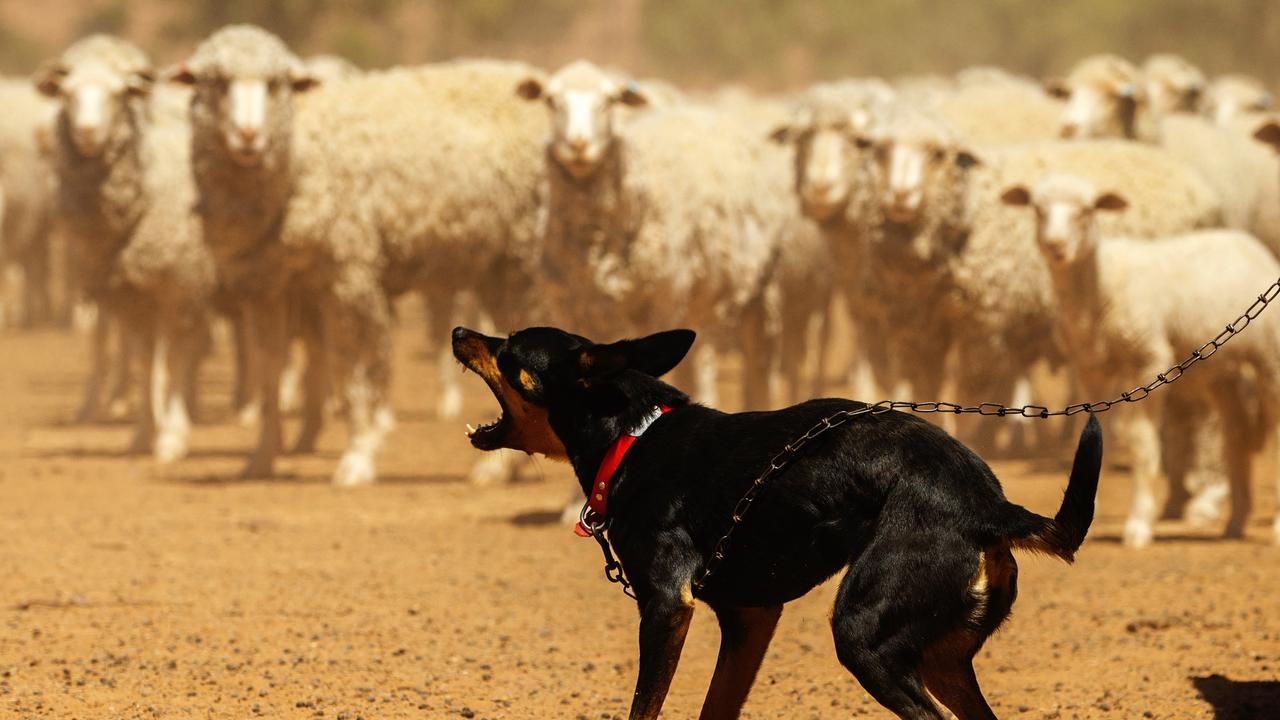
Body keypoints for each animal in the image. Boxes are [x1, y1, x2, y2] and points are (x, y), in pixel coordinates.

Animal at [35, 35, 216, 458]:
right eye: (67, 94)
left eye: (119, 95)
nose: (87, 132)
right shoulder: (131, 295)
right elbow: (145, 360)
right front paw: (143, 433)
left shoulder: (180, 282)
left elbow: (173, 358)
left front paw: (171, 436)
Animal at [174, 29, 545, 486]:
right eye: (216, 82)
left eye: (276, 84)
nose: (248, 136)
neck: (297, 157)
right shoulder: (268, 284)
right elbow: (271, 372)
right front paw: (261, 458)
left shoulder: (347, 274)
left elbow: (350, 370)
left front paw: (357, 457)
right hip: (497, 265)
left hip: (521, 258)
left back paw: (496, 468)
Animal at [450, 325, 1100, 717]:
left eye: (508, 351)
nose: (459, 332)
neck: (633, 436)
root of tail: (988, 506)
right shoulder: (750, 619)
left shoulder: (666, 608)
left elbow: (644, 707)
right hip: (939, 657)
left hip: (866, 635)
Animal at [998, 172, 1280, 543]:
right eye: (1037, 208)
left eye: (1087, 210)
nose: (1055, 246)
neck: (1099, 286)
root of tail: (1248, 242)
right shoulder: (1091, 367)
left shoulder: (1148, 358)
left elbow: (1141, 442)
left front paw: (1138, 524)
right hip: (1223, 371)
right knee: (1235, 435)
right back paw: (1235, 520)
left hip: (1270, 357)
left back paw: (1274, 524)